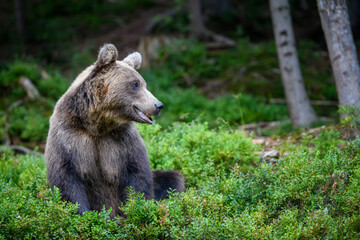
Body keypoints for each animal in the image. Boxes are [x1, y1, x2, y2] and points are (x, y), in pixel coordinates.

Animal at [44, 43, 184, 218]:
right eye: (135, 84)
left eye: (143, 83)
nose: (158, 105)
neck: (98, 123)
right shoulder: (69, 135)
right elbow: (66, 177)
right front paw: (84, 214)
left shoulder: (122, 138)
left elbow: (137, 172)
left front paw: (134, 210)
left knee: (172, 178)